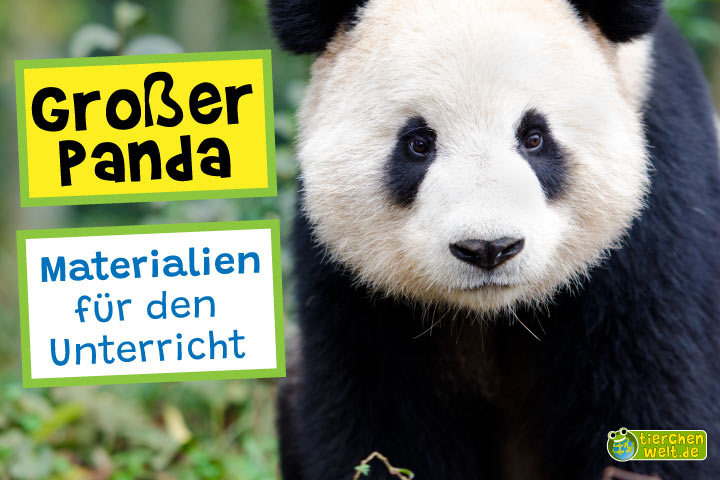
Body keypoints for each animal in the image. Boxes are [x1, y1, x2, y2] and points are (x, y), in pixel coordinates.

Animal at [268, 0, 720, 479]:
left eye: (534, 137)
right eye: (418, 143)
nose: (488, 249)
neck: (494, 312)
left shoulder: (656, 231)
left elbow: (652, 394)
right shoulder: (356, 293)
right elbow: (378, 420)